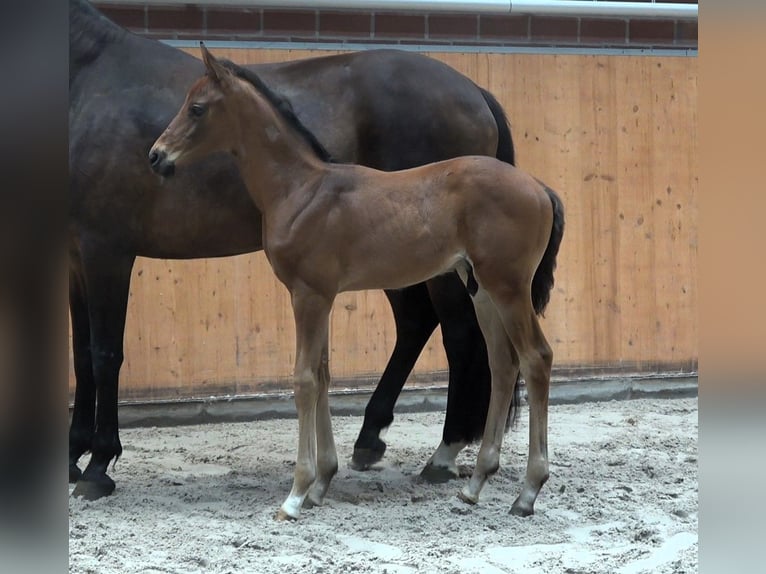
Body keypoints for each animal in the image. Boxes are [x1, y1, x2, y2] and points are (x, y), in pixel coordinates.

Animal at [70, 0, 520, 500]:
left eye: (198, 109)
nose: (156, 157)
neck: (89, 78)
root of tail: (474, 90)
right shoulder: (75, 254)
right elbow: (82, 354)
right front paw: (73, 456)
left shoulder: (106, 249)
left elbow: (105, 353)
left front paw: (97, 466)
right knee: (418, 324)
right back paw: (370, 439)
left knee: (458, 334)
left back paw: (443, 453)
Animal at [150, 45, 568, 520]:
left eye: (197, 108)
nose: (156, 156)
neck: (301, 189)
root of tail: (540, 188)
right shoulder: (323, 296)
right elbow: (323, 374)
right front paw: (320, 484)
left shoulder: (309, 295)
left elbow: (304, 380)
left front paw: (296, 494)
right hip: (482, 289)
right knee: (502, 363)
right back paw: (475, 484)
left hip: (509, 287)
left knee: (536, 358)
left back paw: (527, 492)